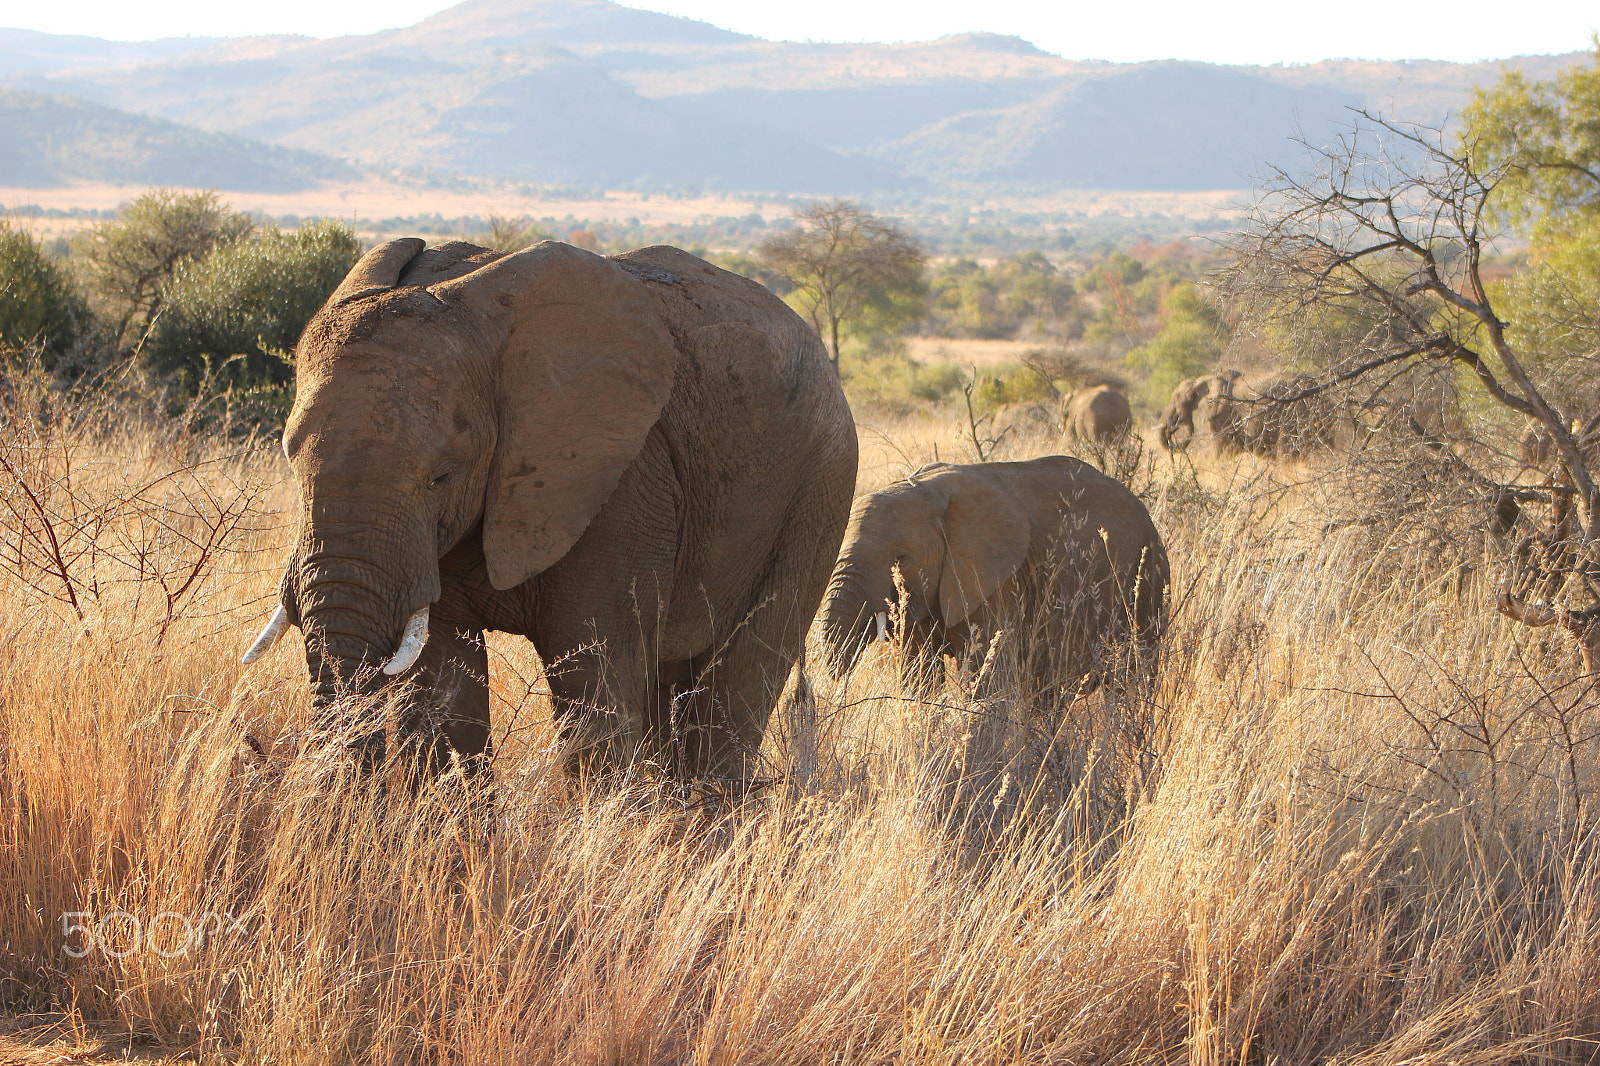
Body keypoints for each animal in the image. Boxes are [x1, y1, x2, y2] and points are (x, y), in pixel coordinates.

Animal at [238, 236, 857, 777]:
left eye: (443, 474)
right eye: (289, 458)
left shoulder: (625, 476)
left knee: (734, 690)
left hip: (817, 492)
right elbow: (440, 683)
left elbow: (594, 681)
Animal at [819, 451, 1171, 685]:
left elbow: (983, 667)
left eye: (901, 558)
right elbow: (919, 672)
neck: (926, 491)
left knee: (1134, 681)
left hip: (1147, 582)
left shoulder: (997, 577)